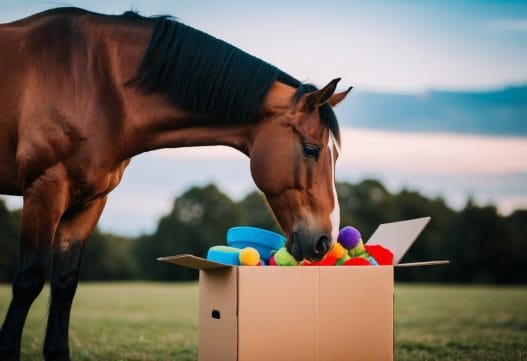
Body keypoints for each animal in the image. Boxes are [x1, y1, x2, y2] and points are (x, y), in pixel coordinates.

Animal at [2, 6, 352, 360]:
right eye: (311, 150)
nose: (325, 239)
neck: (96, 83)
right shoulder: (46, 188)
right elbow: (29, 280)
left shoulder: (90, 201)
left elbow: (65, 281)